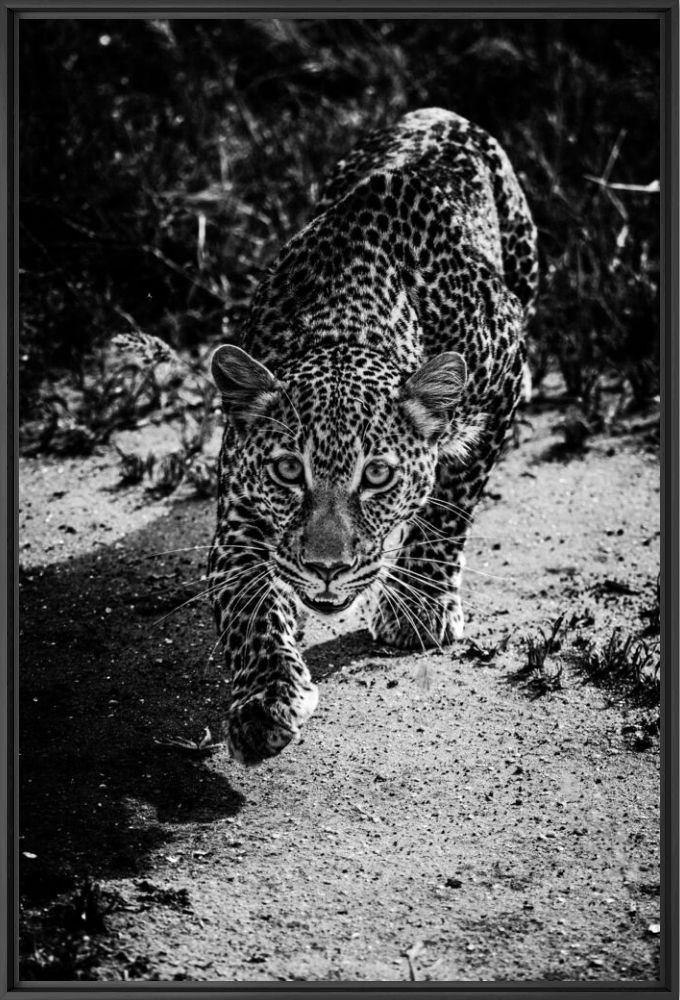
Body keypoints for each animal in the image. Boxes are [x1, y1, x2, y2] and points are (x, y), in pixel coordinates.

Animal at [208, 108, 538, 766]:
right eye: (288, 471)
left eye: (377, 476)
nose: (326, 569)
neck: (344, 320)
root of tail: (440, 111)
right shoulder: (241, 503)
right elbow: (248, 600)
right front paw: (265, 699)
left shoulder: (504, 374)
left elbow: (449, 505)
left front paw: (420, 608)